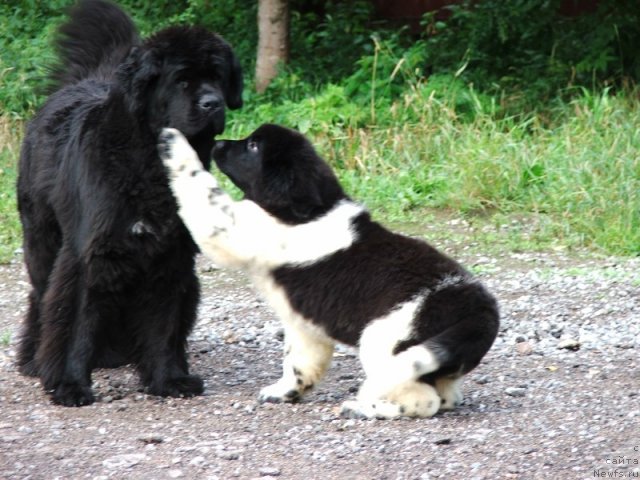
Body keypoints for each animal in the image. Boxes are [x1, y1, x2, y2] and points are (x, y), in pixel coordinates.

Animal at [17, 0, 244, 406]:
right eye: (181, 80)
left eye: (217, 76)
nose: (213, 103)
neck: (151, 165)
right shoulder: (88, 254)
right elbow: (74, 323)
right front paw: (70, 384)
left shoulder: (170, 257)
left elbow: (163, 324)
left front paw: (169, 378)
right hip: (41, 239)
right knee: (41, 297)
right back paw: (34, 359)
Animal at [159, 125, 500, 418]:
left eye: (254, 146)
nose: (217, 144)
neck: (307, 209)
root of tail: (480, 314)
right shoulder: (305, 326)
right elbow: (298, 363)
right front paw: (284, 392)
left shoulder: (232, 227)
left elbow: (200, 187)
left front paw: (172, 142)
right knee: (447, 395)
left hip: (386, 342)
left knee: (422, 400)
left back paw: (367, 409)